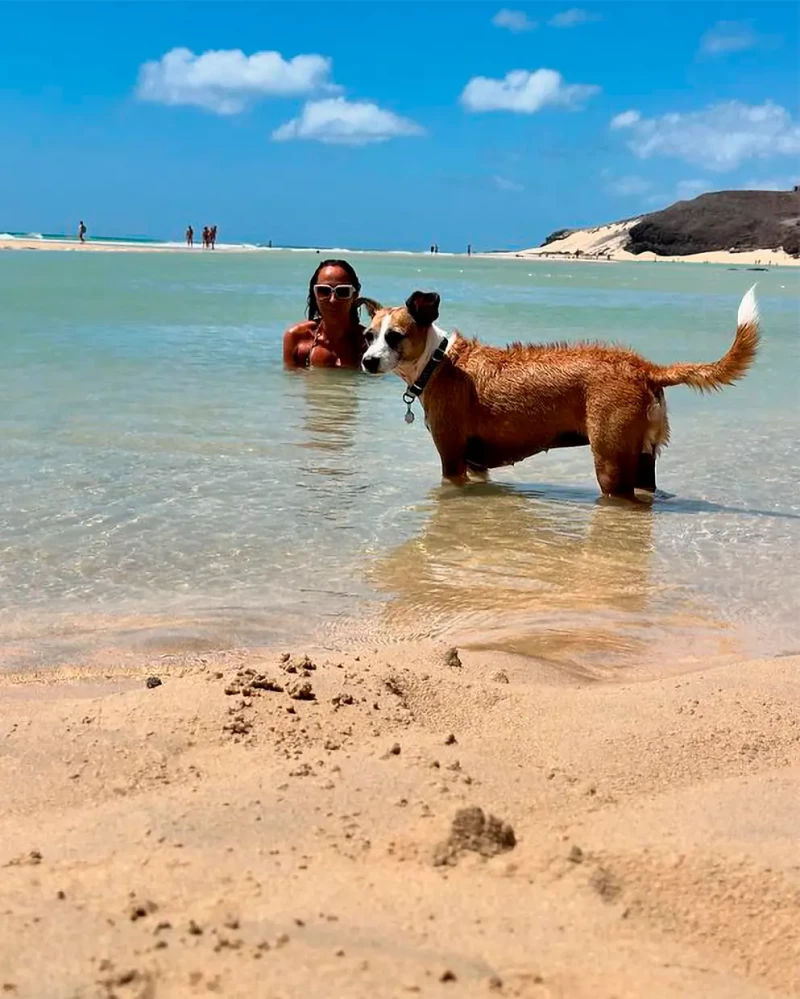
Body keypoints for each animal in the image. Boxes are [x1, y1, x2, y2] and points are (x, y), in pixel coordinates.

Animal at [360, 288, 760, 498]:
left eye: (394, 336)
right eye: (368, 336)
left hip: (611, 462)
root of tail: (644, 368)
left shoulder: (452, 459)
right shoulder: (476, 466)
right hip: (645, 457)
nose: (366, 361)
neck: (437, 360)